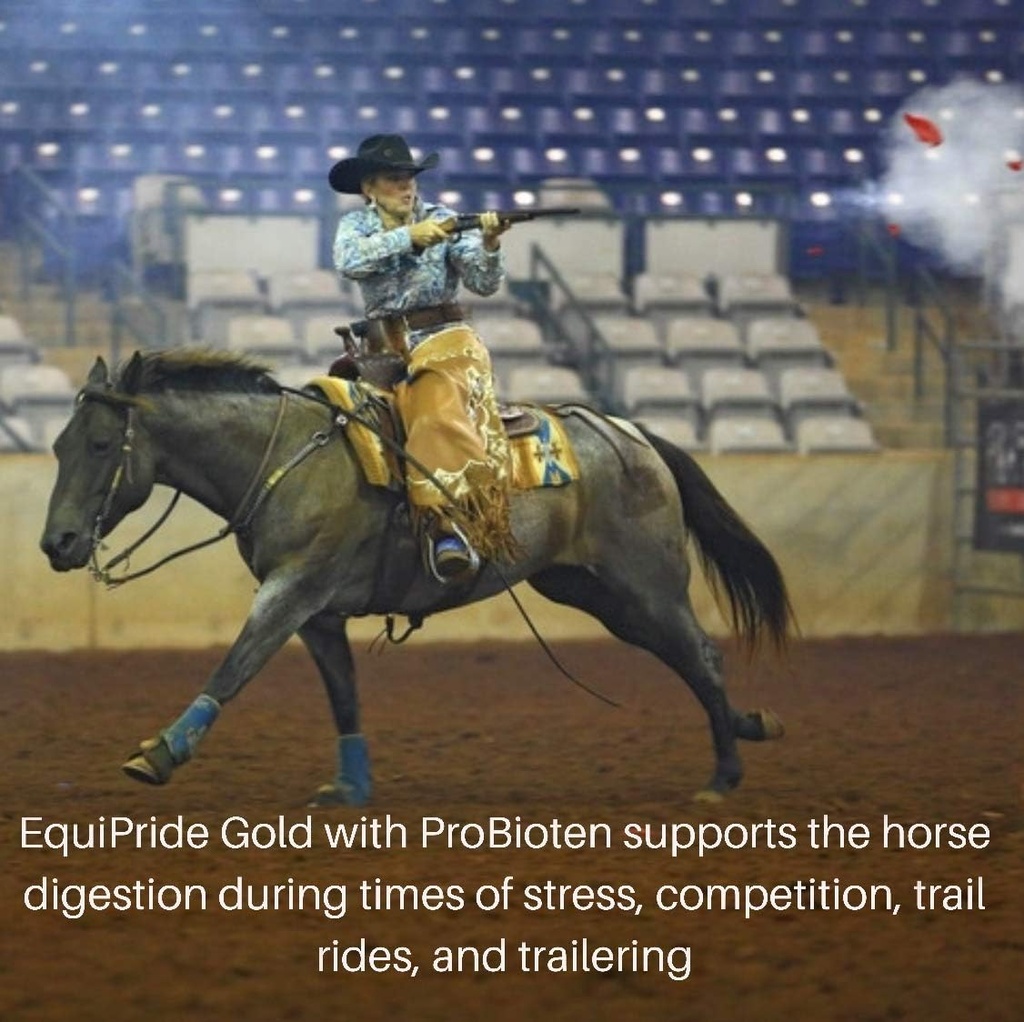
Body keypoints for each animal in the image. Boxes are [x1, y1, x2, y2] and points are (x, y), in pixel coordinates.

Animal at [40, 349, 795, 804]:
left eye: (102, 443)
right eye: (57, 444)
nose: (58, 542)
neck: (285, 457)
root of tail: (634, 434)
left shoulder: (290, 593)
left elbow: (232, 668)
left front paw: (160, 753)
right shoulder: (318, 614)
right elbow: (343, 695)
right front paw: (350, 788)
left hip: (645, 584)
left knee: (700, 655)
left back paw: (723, 775)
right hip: (591, 590)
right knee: (688, 658)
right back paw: (751, 725)